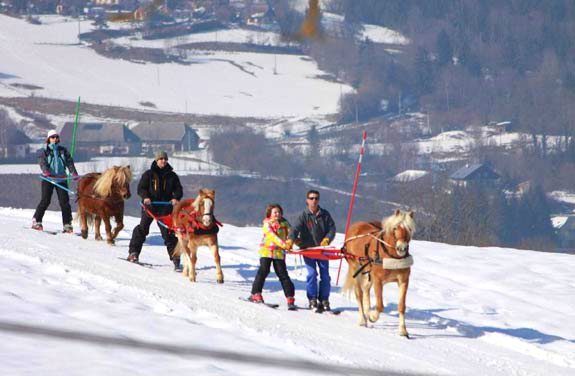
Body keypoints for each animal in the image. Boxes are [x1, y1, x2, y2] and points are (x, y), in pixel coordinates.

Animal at [344, 209, 416, 338]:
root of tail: (355, 226)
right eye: (395, 228)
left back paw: (367, 312)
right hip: (355, 267)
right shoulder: (378, 280)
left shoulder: (403, 280)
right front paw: (372, 317)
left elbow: (401, 306)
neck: (390, 255)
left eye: (409, 228)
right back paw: (363, 319)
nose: (401, 248)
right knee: (359, 293)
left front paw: (403, 330)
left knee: (366, 289)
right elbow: (380, 305)